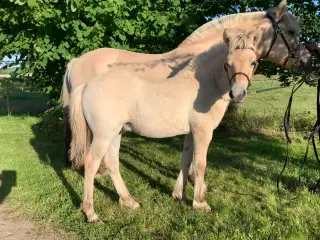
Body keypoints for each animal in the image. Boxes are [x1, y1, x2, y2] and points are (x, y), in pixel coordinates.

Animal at [70, 26, 268, 221]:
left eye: (253, 63)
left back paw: (129, 201)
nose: (238, 94)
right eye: (227, 64)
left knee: (112, 162)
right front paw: (200, 203)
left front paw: (179, 196)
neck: (203, 86)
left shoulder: (190, 133)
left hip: (115, 133)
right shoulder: (202, 132)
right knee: (91, 164)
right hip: (103, 135)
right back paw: (90, 212)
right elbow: (200, 164)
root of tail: (87, 84)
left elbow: (186, 161)